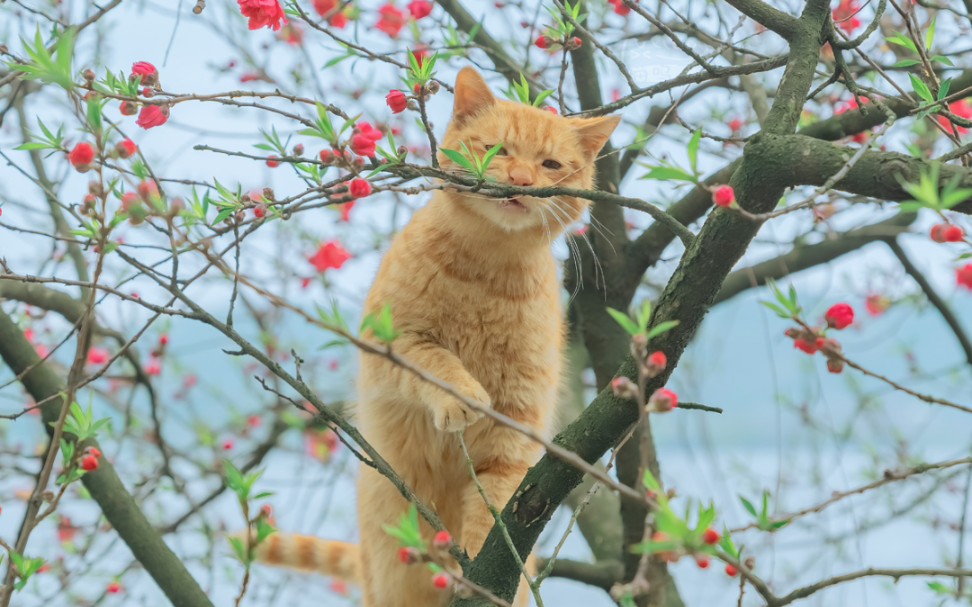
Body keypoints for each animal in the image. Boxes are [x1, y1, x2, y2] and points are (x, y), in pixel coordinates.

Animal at [251, 67, 616, 607]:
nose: (522, 181)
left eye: (550, 164)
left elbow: (494, 514)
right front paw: (460, 392)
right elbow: (436, 361)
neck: (487, 269)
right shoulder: (391, 346)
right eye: (498, 150)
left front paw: (481, 569)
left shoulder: (516, 425)